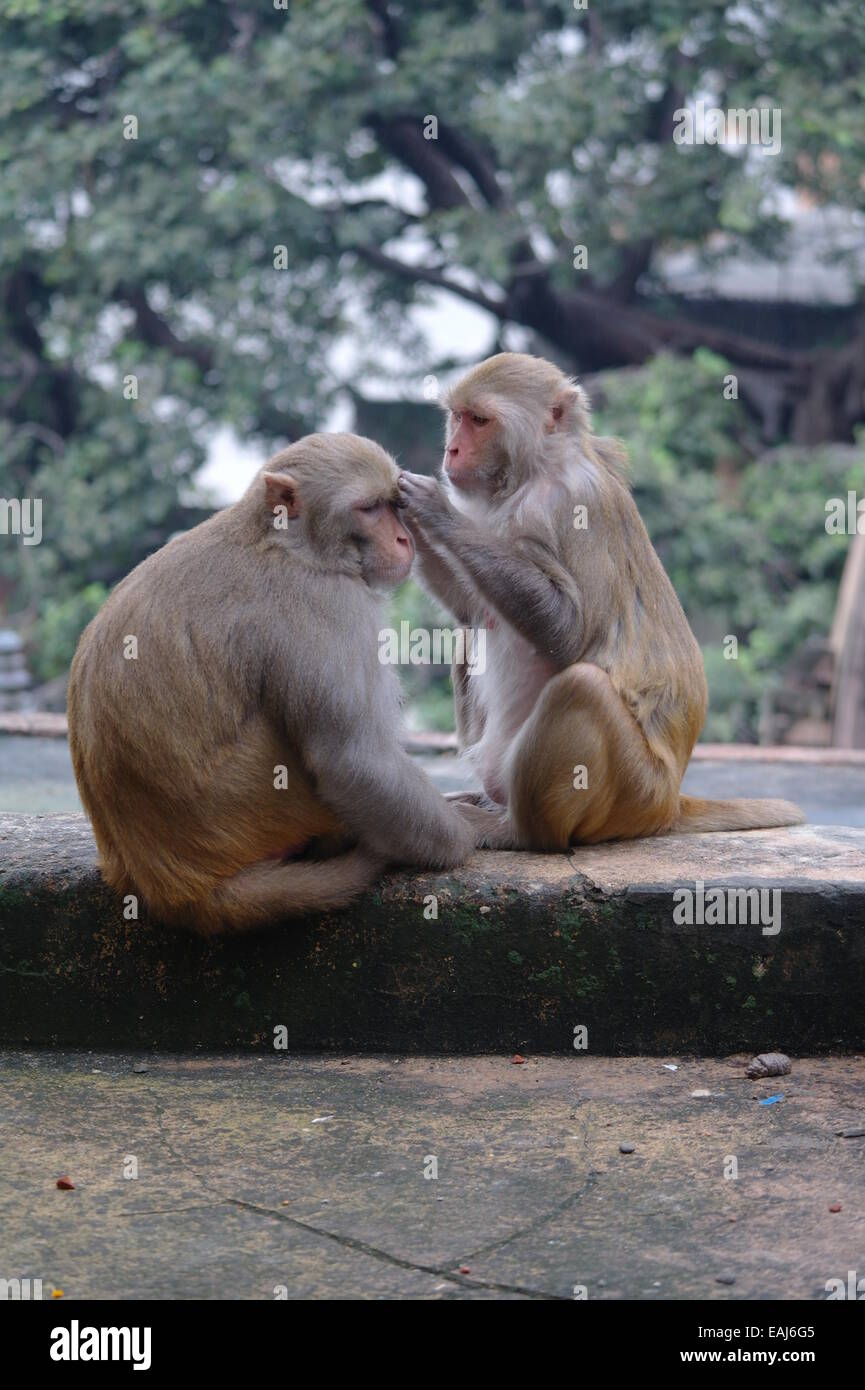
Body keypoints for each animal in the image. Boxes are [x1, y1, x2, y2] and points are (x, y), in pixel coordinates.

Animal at [69, 433, 500, 934]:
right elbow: (353, 759)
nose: (402, 538)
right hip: (261, 809)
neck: (286, 544)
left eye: (394, 506)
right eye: (369, 508)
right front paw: (461, 839)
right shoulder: (326, 602)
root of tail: (174, 890)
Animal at [400, 350, 806, 845]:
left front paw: (437, 512)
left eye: (479, 420)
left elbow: (568, 633)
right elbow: (472, 609)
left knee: (583, 687)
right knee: (469, 633)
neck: (529, 475)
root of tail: (669, 802)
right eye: (456, 418)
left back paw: (519, 832)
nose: (451, 451)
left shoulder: (575, 503)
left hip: (634, 792)